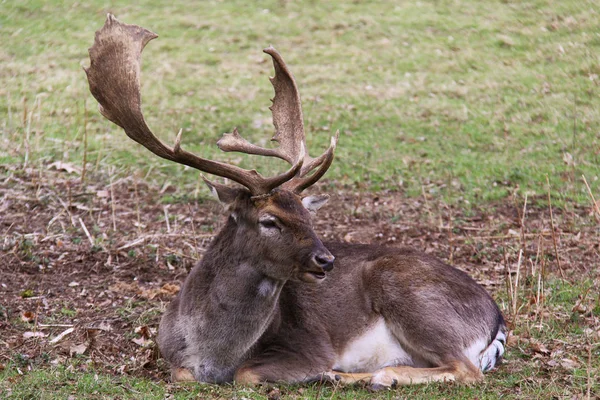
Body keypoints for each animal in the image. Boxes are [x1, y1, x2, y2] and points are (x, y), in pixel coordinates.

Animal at [85, 14, 506, 388]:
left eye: (309, 216)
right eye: (269, 220)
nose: (326, 260)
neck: (212, 353)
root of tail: (496, 320)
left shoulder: (309, 345)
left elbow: (248, 374)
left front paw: (324, 374)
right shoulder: (171, 355)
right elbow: (183, 375)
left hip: (411, 295)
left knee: (467, 370)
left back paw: (370, 377)